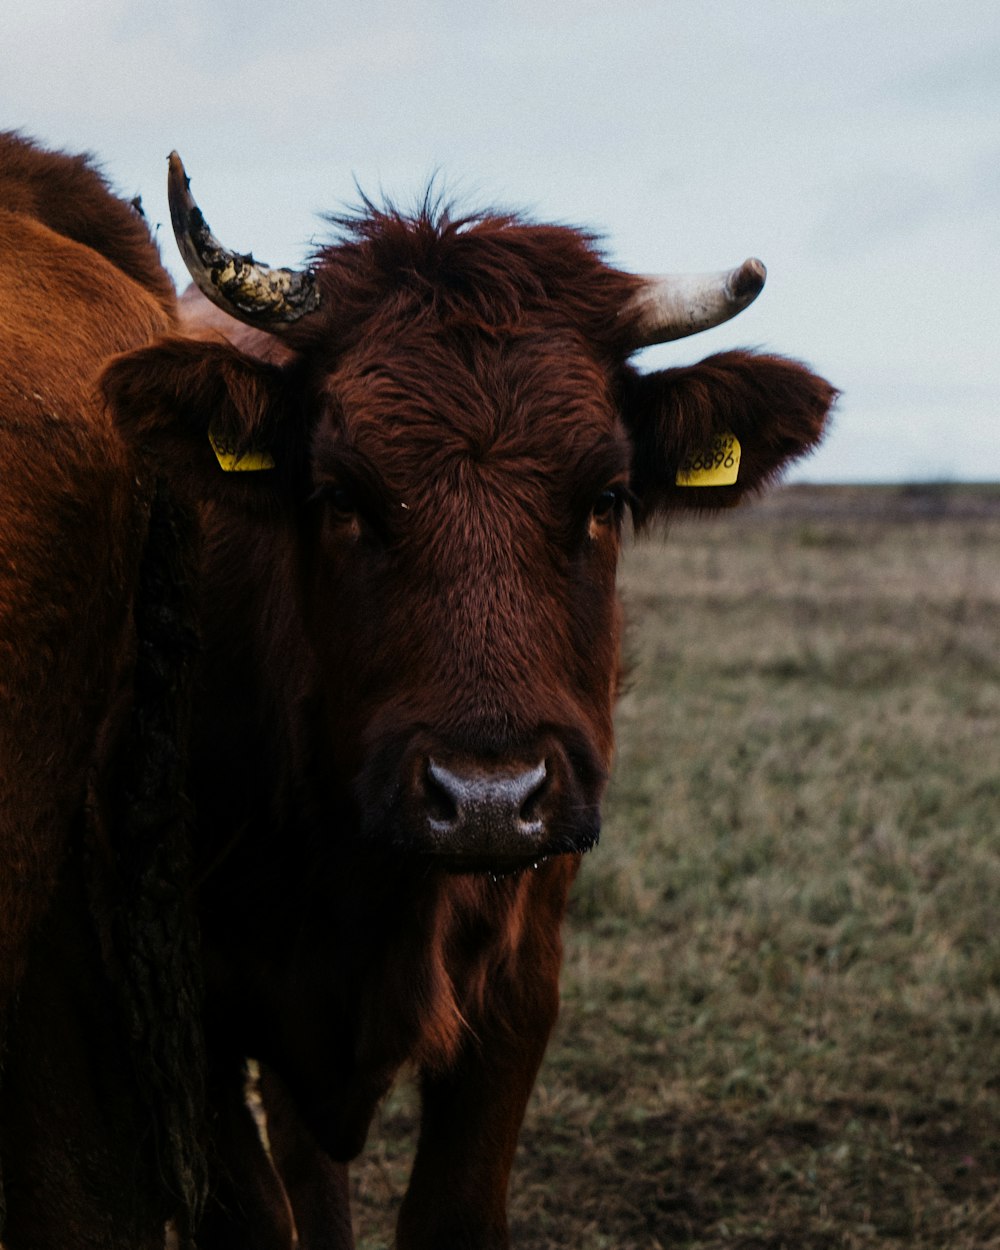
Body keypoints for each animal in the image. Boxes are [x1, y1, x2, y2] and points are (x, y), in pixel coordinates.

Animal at [103, 156, 835, 1250]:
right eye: (340, 495)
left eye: (606, 497)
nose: (487, 800)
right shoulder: (191, 1011)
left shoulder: (520, 990)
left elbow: (450, 1211)